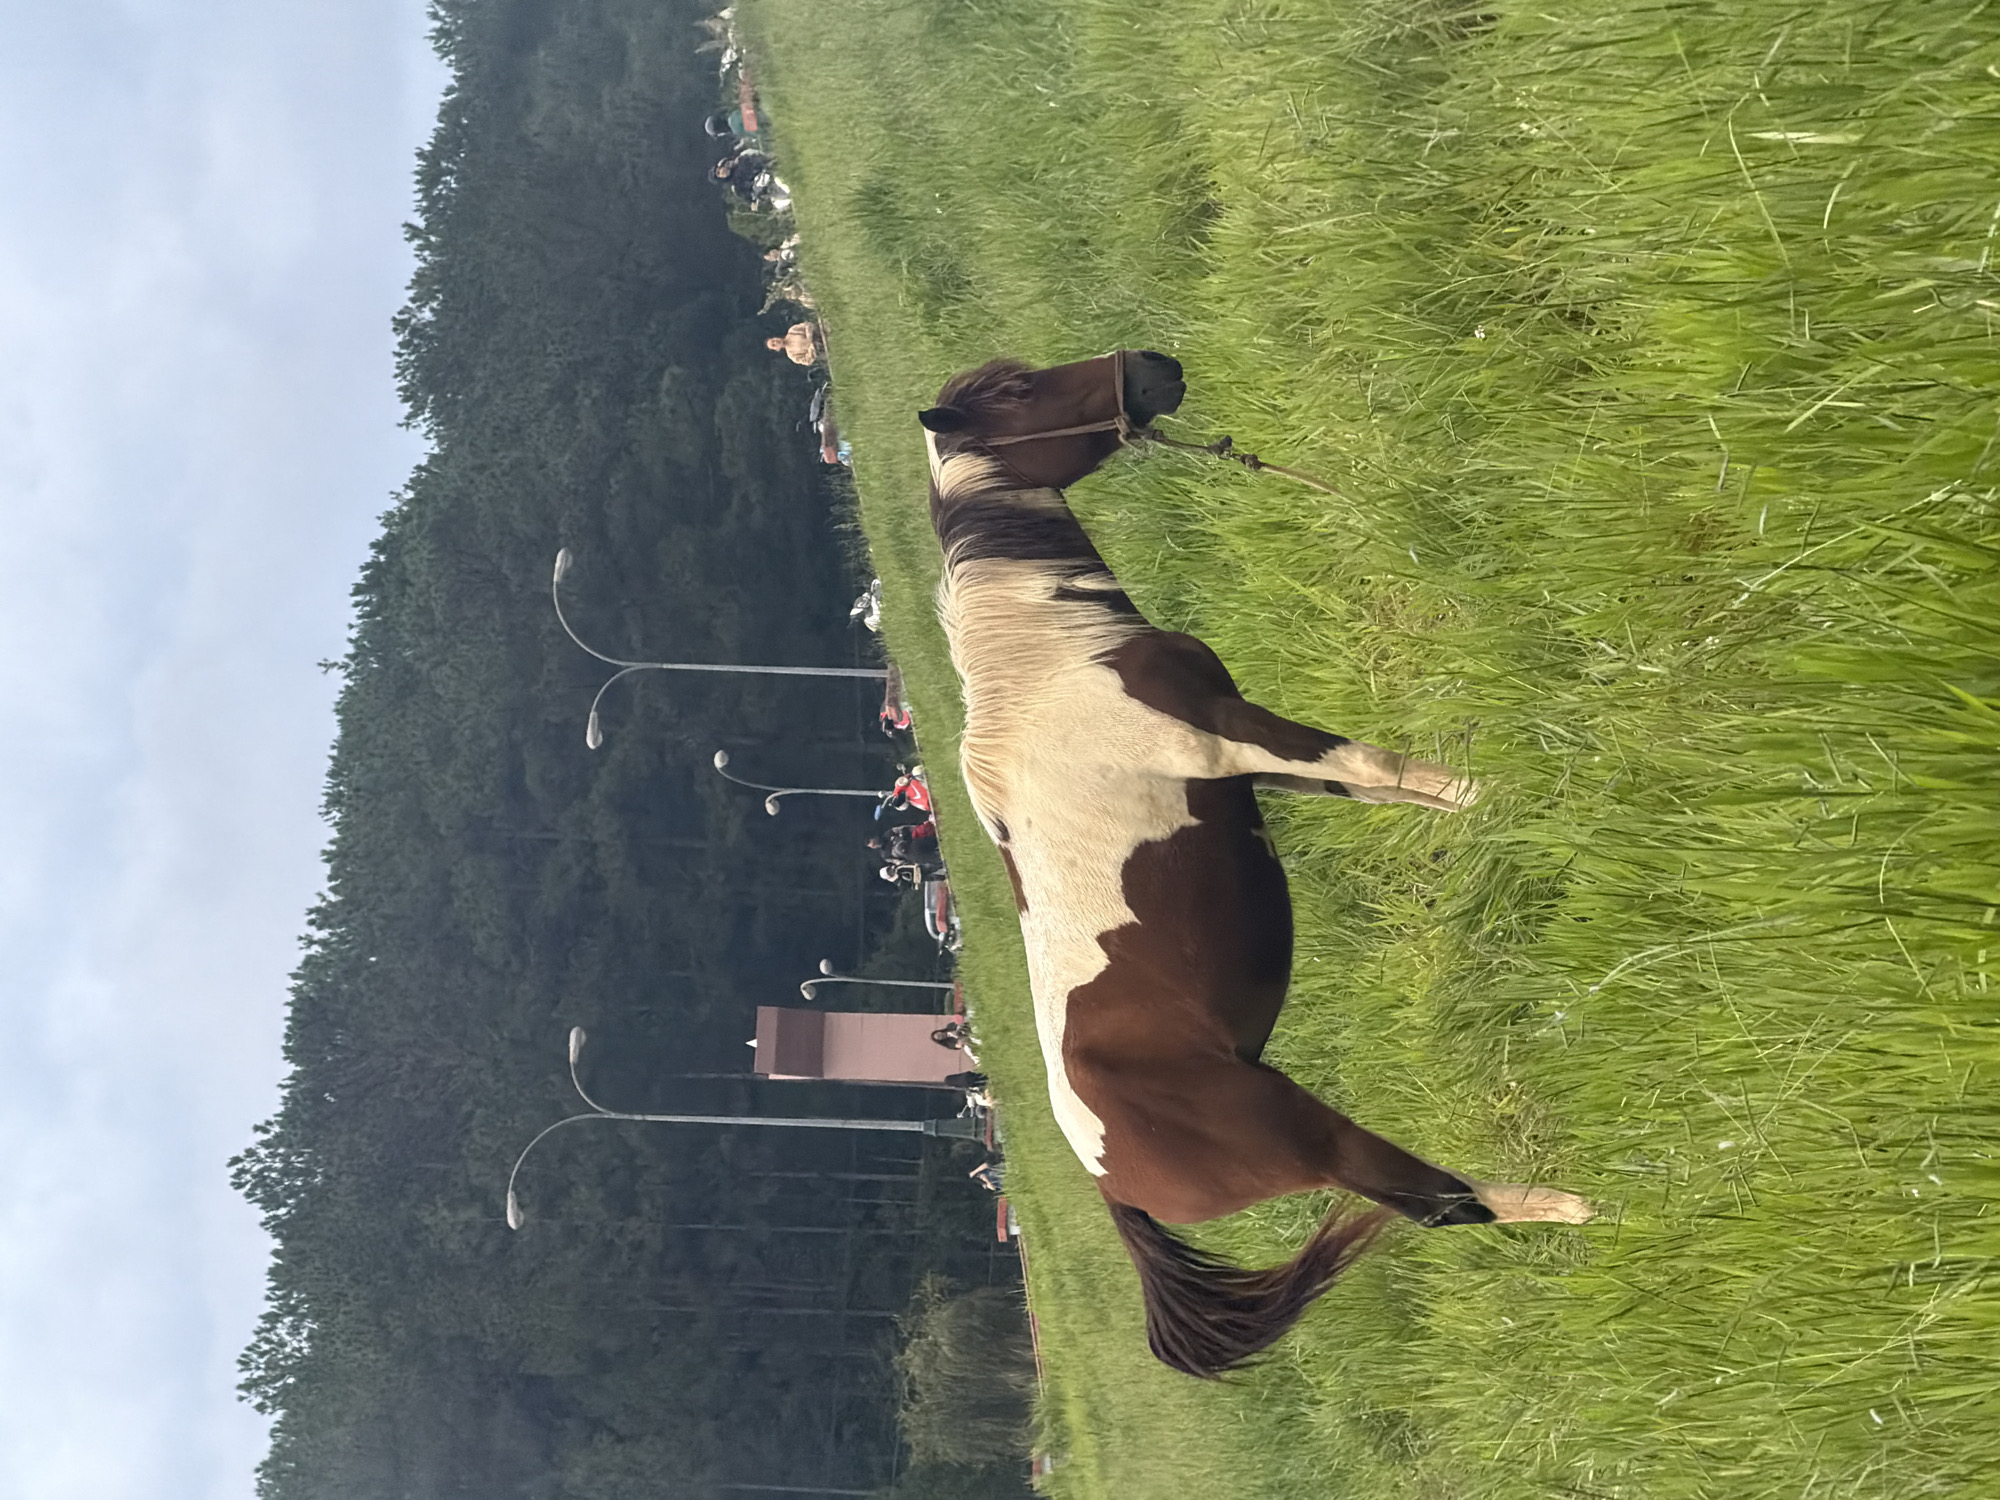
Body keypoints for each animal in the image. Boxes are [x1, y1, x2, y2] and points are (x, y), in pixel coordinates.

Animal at [920, 350, 1592, 1378]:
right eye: (1024, 393)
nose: (1157, 366)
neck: (1052, 667)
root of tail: (1107, 1174)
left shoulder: (1257, 765)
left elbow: (1389, 788)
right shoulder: (1230, 741)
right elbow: (1384, 768)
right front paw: (1519, 797)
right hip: (1312, 1138)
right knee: (1440, 1202)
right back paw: (1576, 1205)